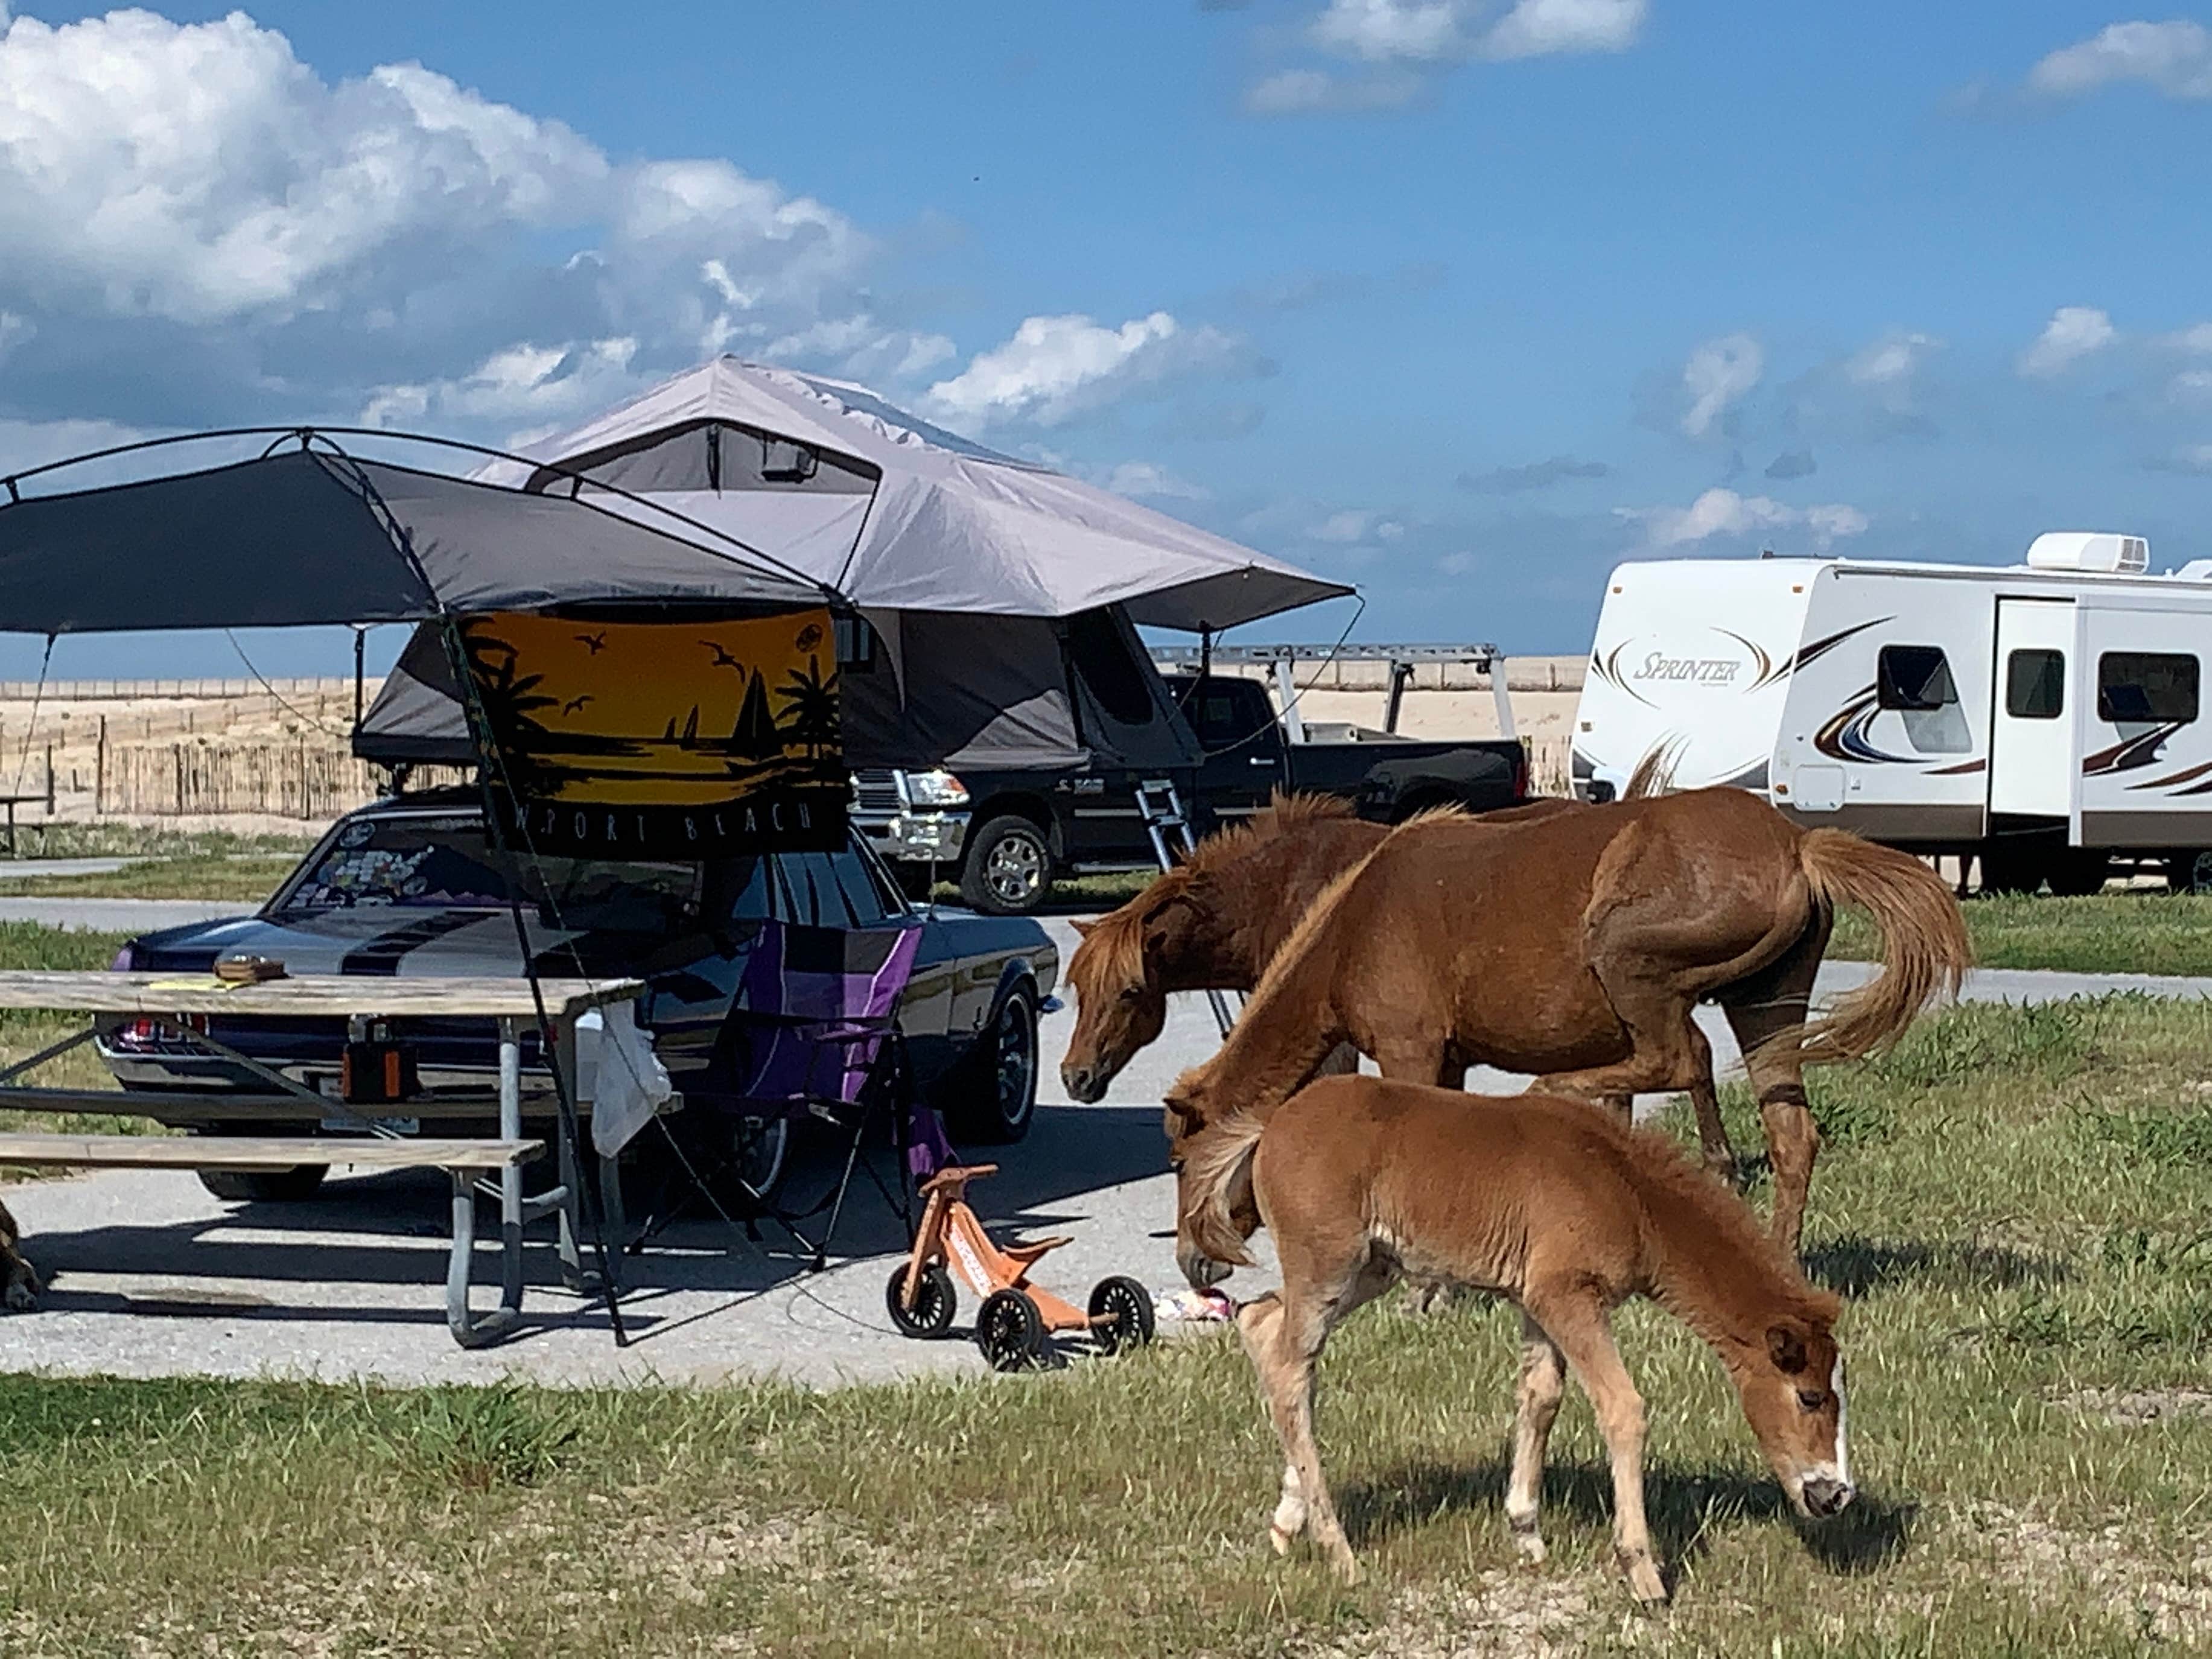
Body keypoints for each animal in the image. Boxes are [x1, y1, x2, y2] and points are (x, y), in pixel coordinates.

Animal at [1177, 787, 1973, 1283]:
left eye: (1183, 1162)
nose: (1195, 1262)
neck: (1357, 922)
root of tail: (1799, 844)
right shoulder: (1448, 1062)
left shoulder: (1412, 1051)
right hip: (1766, 1007)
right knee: (1789, 1132)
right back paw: (1774, 1257)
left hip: (1626, 957)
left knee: (1681, 1056)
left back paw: (1558, 1095)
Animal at [1194, 1079, 1849, 1610]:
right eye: (1811, 1396)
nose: (1836, 1495)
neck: (1628, 1192)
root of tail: (1273, 1125)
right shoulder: (1567, 1296)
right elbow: (1624, 1407)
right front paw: (1642, 1573)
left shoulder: (1537, 1300)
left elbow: (1542, 1395)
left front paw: (1526, 1530)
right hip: (1329, 1261)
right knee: (1289, 1365)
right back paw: (1340, 1552)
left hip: (1370, 1269)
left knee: (1266, 1327)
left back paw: (1289, 1521)